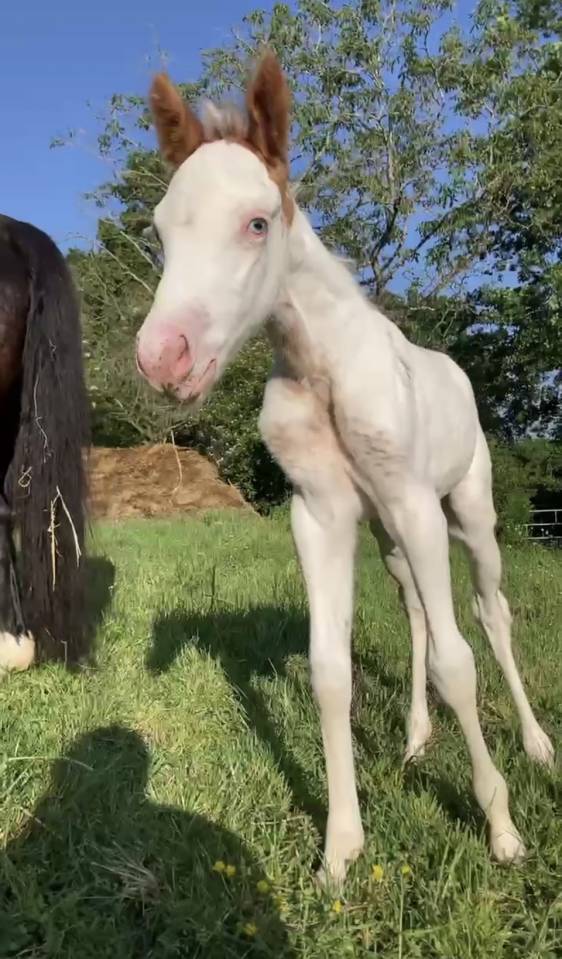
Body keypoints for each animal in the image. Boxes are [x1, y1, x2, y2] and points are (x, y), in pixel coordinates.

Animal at [135, 52, 554, 885]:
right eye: (162, 229)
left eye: (257, 222)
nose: (163, 358)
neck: (321, 367)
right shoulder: (321, 512)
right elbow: (331, 670)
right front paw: (340, 847)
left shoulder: (417, 503)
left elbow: (460, 661)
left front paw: (501, 828)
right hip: (388, 536)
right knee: (417, 610)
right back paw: (418, 737)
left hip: (469, 512)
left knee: (491, 614)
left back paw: (535, 745)